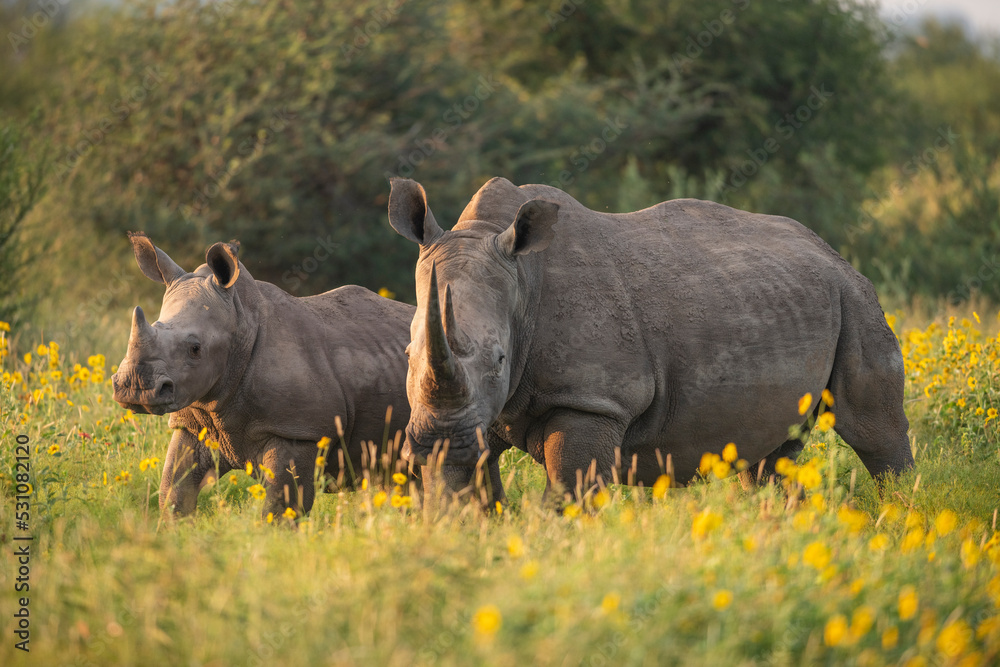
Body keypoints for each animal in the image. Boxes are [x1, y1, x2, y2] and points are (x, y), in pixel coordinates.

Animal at [111, 233, 492, 517]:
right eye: (155, 325)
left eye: (195, 348)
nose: (134, 389)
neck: (240, 323)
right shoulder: (194, 422)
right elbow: (174, 492)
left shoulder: (300, 430)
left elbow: (281, 505)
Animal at [387, 177, 914, 497]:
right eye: (408, 354)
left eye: (499, 359)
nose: (436, 439)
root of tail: (829, 249)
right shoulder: (478, 414)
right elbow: (460, 487)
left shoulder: (593, 400)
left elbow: (568, 492)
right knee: (770, 457)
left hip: (855, 295)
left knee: (874, 431)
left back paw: (900, 508)